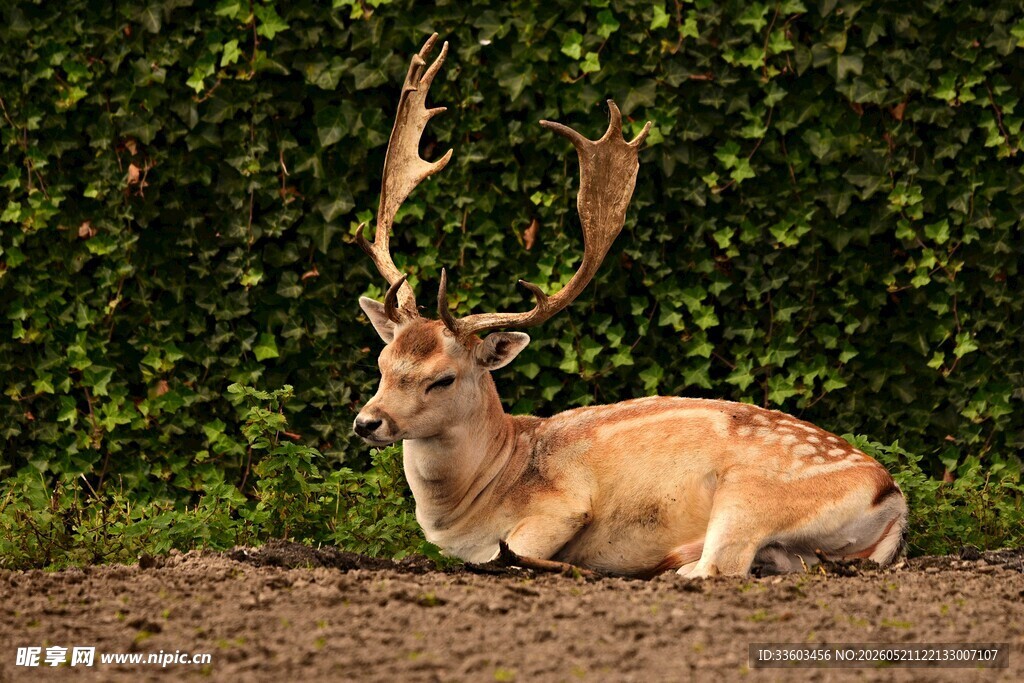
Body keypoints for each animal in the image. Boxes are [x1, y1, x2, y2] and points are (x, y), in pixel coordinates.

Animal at [352, 34, 908, 579]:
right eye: (382, 362)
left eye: (443, 378)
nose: (366, 422)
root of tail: (893, 499)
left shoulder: (561, 505)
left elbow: (509, 548)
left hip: (751, 492)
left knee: (719, 566)